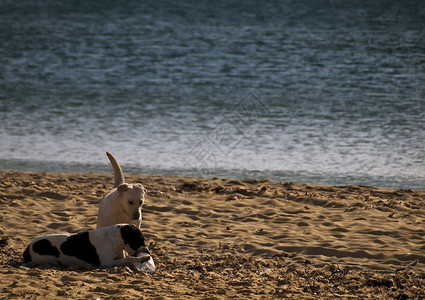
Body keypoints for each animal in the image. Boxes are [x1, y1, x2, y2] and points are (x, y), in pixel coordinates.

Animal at [22, 224, 151, 268]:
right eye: (140, 240)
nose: (148, 251)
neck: (115, 238)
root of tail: (28, 248)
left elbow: (127, 259)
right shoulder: (106, 263)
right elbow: (130, 258)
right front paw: (143, 258)